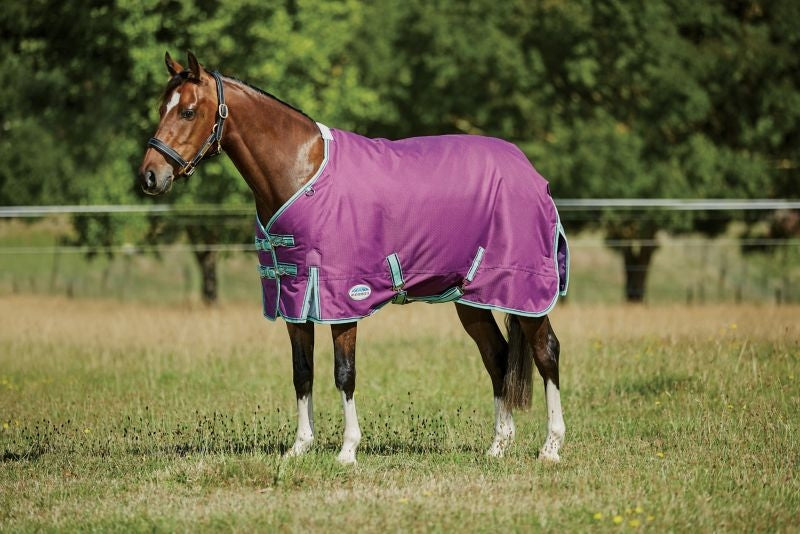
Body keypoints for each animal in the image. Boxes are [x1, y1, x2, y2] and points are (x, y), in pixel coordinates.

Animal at [138, 51, 568, 465]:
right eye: (161, 107)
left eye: (188, 111)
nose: (150, 176)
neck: (301, 171)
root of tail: (530, 172)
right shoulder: (296, 296)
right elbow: (302, 372)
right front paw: (300, 446)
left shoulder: (340, 297)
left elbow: (344, 373)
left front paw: (347, 450)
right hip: (471, 298)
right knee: (497, 356)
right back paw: (498, 445)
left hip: (525, 291)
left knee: (546, 351)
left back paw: (550, 447)